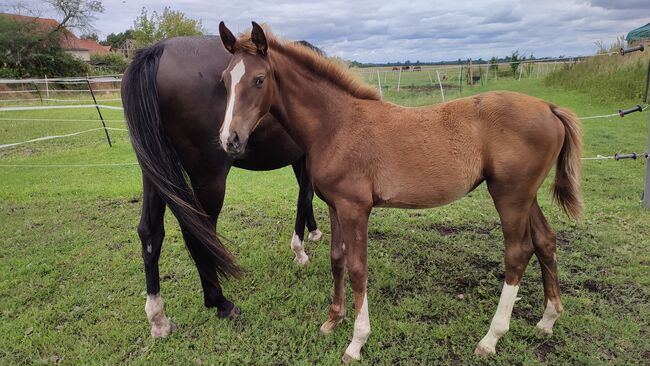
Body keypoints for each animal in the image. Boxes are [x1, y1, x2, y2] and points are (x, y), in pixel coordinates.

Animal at [120, 36, 320, 338]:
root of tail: (159, 50)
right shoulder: (306, 156)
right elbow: (304, 197)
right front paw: (300, 250)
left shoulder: (300, 158)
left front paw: (312, 231)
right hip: (209, 178)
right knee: (200, 234)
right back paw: (220, 302)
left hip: (154, 173)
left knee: (150, 234)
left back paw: (158, 318)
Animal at [215, 23, 580, 364]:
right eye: (224, 81)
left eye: (259, 79)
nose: (229, 140)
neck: (337, 125)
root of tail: (549, 108)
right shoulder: (335, 205)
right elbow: (337, 259)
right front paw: (332, 320)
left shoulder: (356, 208)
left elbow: (358, 268)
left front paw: (357, 341)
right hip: (526, 195)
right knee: (545, 240)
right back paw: (547, 319)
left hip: (510, 195)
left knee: (518, 253)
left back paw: (491, 338)